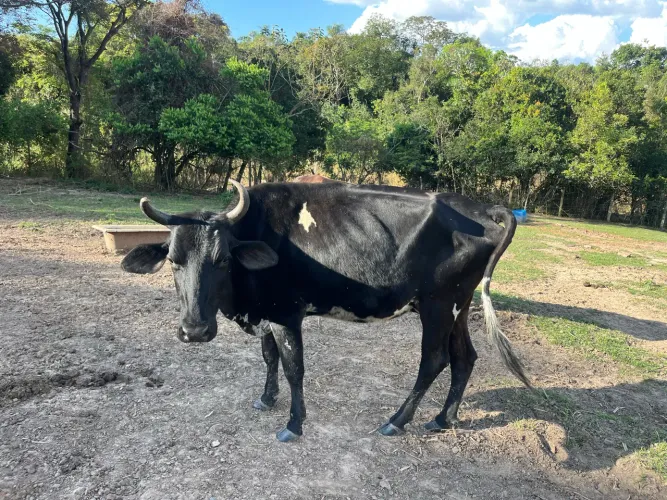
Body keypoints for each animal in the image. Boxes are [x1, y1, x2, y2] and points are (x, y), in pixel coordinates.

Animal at [120, 180, 531, 442]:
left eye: (222, 260)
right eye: (173, 261)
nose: (194, 331)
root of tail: (481, 207)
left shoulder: (285, 313)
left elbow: (294, 367)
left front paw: (294, 424)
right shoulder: (265, 314)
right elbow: (269, 357)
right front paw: (266, 398)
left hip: (439, 304)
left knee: (434, 360)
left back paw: (396, 421)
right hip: (459, 306)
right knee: (465, 357)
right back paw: (443, 419)